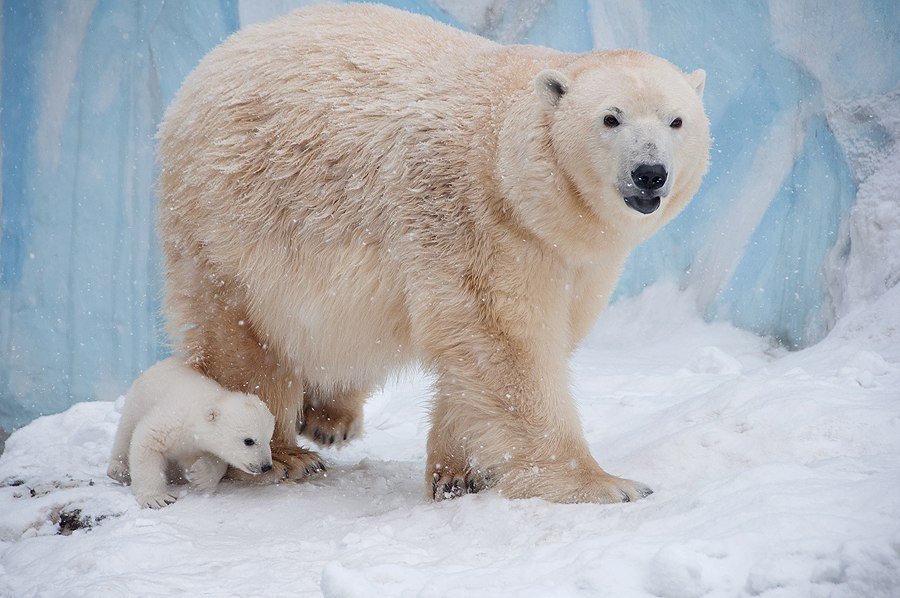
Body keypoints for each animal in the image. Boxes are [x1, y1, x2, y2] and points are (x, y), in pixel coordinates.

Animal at [160, 3, 712, 506]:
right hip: (229, 218)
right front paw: (605, 483)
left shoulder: (574, 258)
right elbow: (507, 344)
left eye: (677, 120)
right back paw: (282, 454)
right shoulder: (474, 218)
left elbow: (505, 348)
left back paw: (330, 415)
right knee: (243, 338)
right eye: (610, 118)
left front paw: (459, 473)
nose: (649, 173)